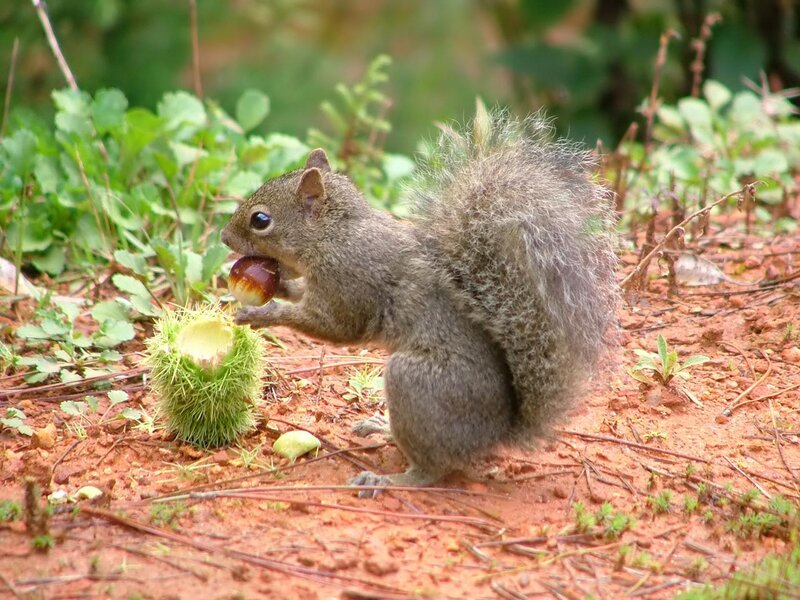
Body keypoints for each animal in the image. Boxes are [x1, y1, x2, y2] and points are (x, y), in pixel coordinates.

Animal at [221, 105, 618, 495]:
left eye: (261, 220)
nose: (224, 238)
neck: (334, 234)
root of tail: (493, 436)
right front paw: (280, 286)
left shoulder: (349, 281)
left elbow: (336, 327)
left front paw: (265, 312)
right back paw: (382, 428)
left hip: (416, 385)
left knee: (431, 470)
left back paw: (387, 479)